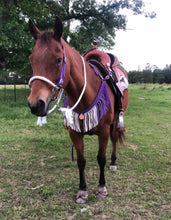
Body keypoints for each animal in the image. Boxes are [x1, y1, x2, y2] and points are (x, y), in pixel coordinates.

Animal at [27, 16, 128, 204]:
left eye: (58, 60)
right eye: (31, 59)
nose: (35, 104)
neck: (87, 93)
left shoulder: (103, 131)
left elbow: (100, 158)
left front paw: (101, 188)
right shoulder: (74, 133)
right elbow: (81, 161)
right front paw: (82, 191)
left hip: (116, 120)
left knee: (114, 138)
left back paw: (113, 162)